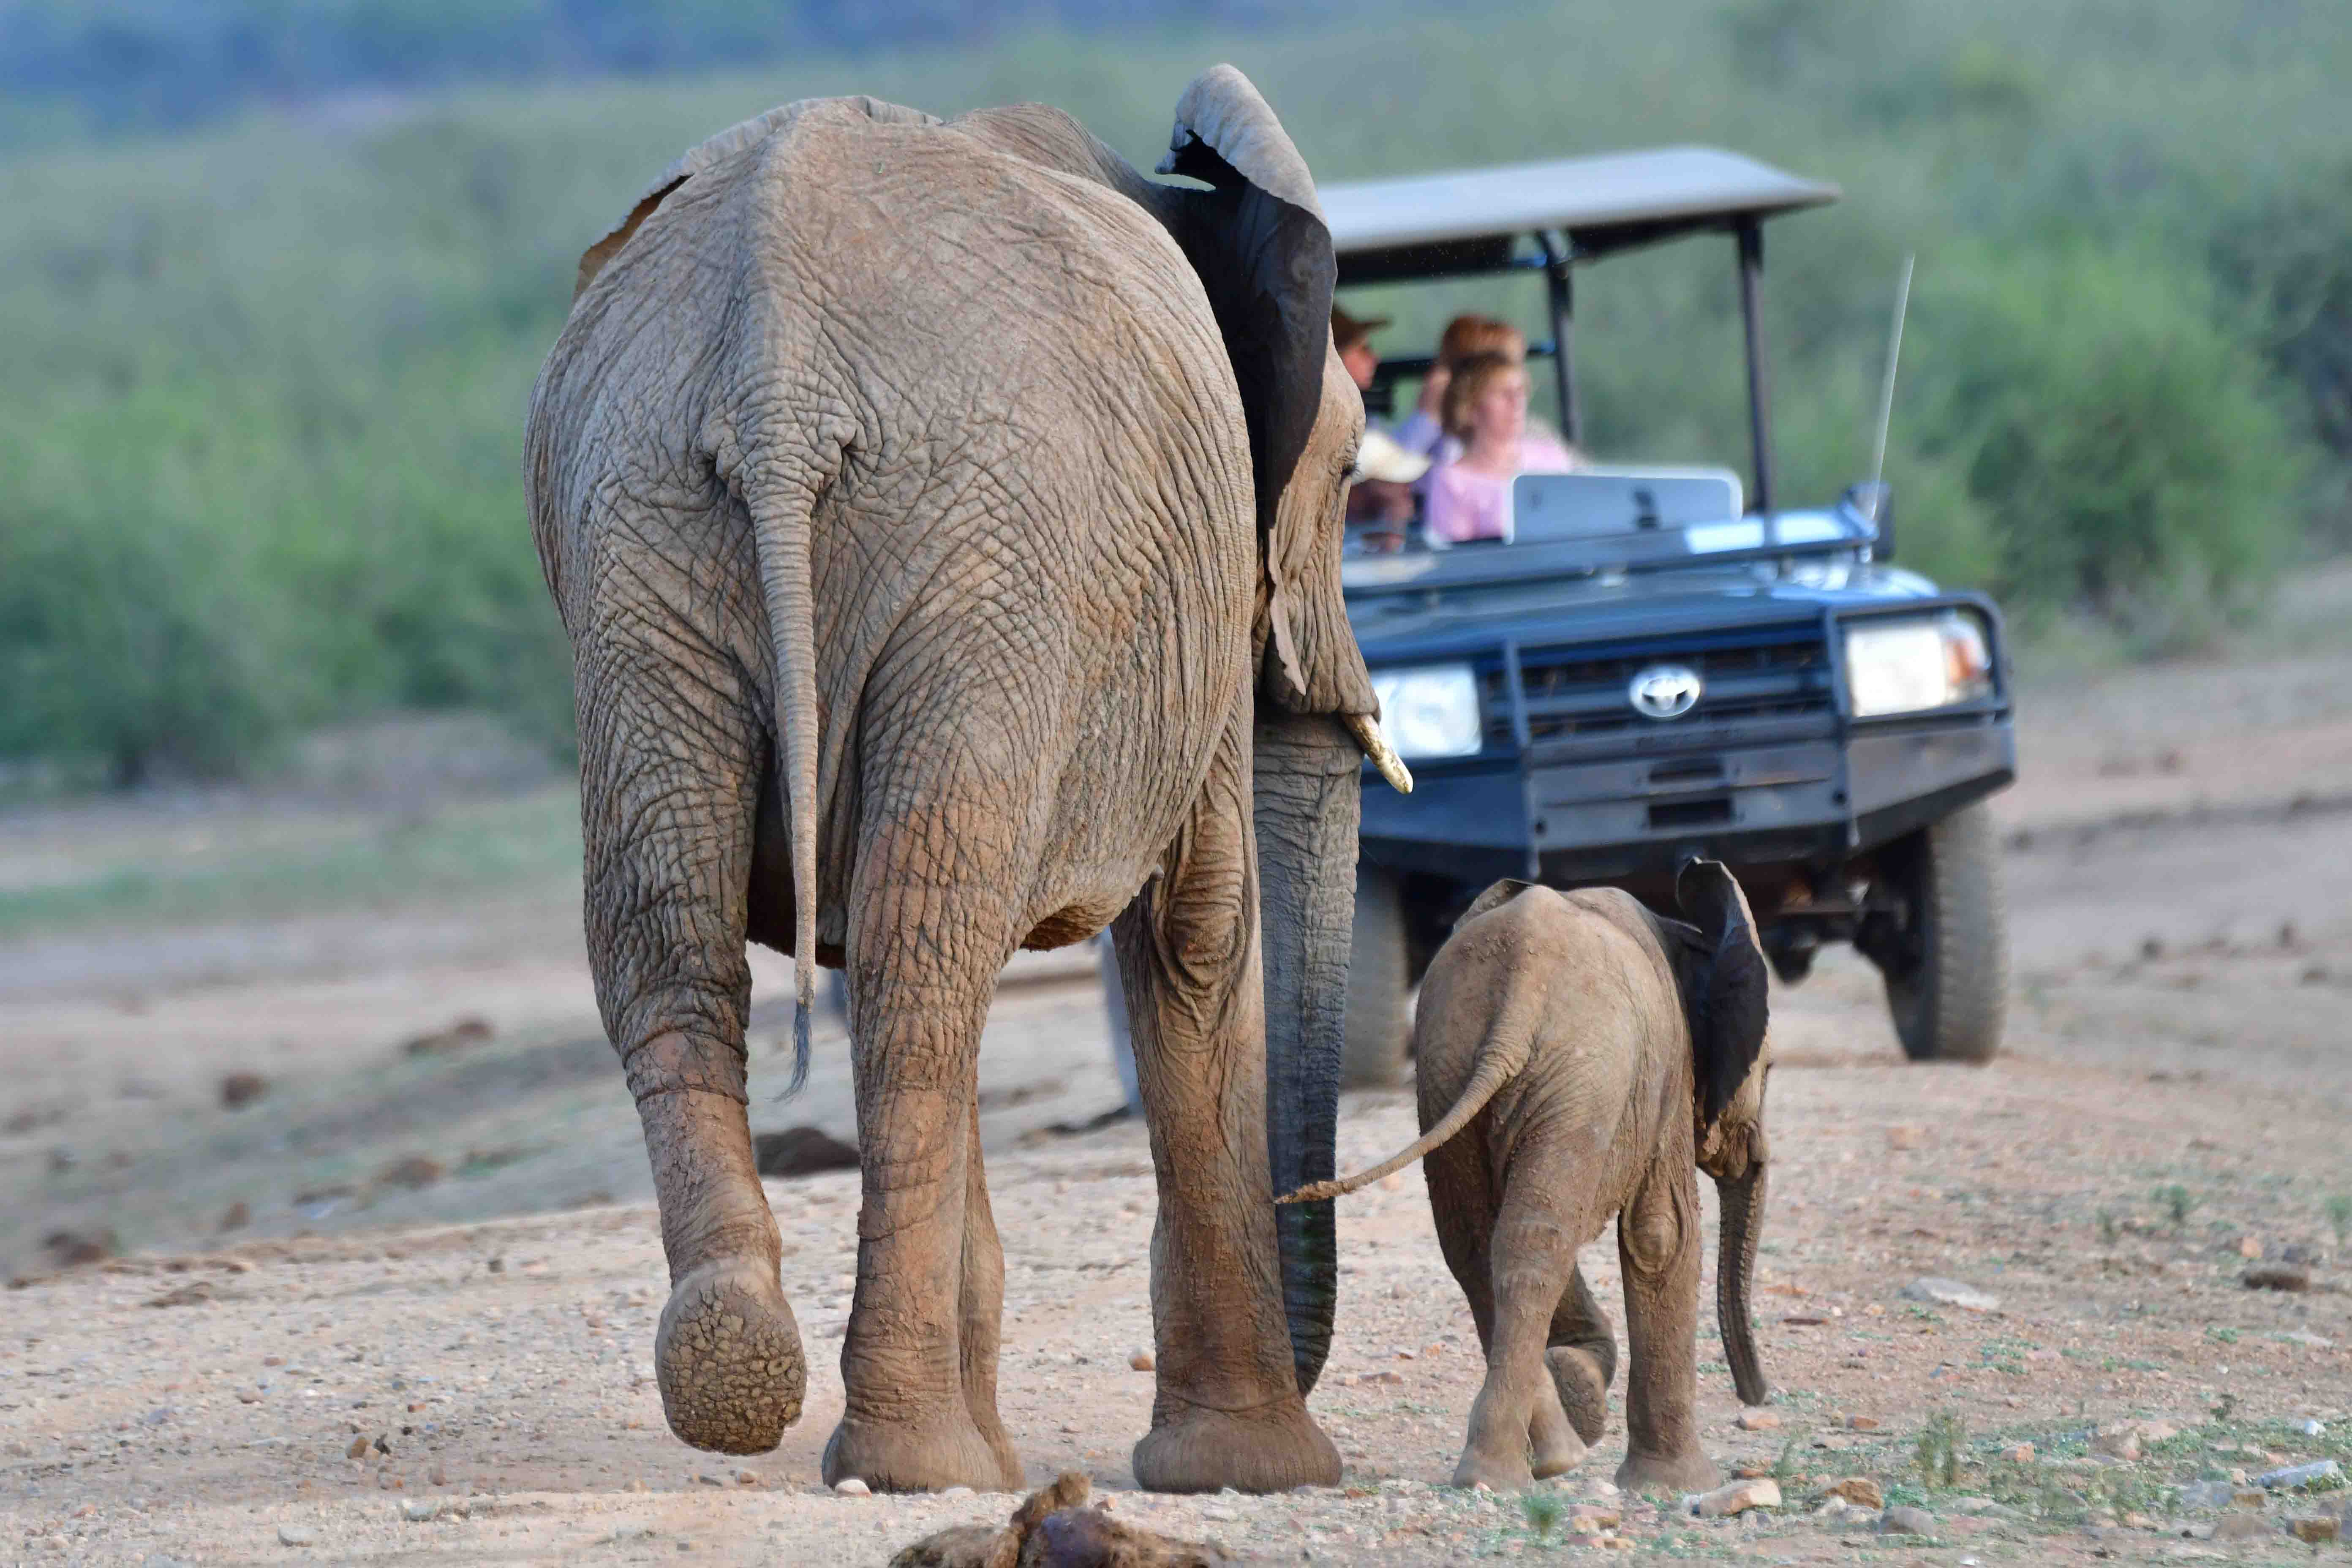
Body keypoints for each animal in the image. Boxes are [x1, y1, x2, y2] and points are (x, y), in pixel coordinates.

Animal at [523, 65, 1412, 1495]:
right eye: (1347, 474)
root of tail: (772, 370)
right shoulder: (1202, 576)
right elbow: (1198, 927)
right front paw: (1253, 1473)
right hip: (984, 551)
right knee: (923, 948)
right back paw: (918, 1463)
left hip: (639, 539)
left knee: (713, 938)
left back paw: (756, 1383)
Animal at [1280, 860, 1772, 1492]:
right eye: (1769, 1070)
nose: (1756, 1396)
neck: (1686, 929)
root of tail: (1518, 993)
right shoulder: (1668, 1070)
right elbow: (1662, 1234)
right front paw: (1685, 1486)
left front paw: (1580, 1381)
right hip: (1581, 1076)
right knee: (1538, 1240)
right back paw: (1527, 1465)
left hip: (1451, 1066)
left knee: (1481, 1244)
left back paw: (1529, 1458)